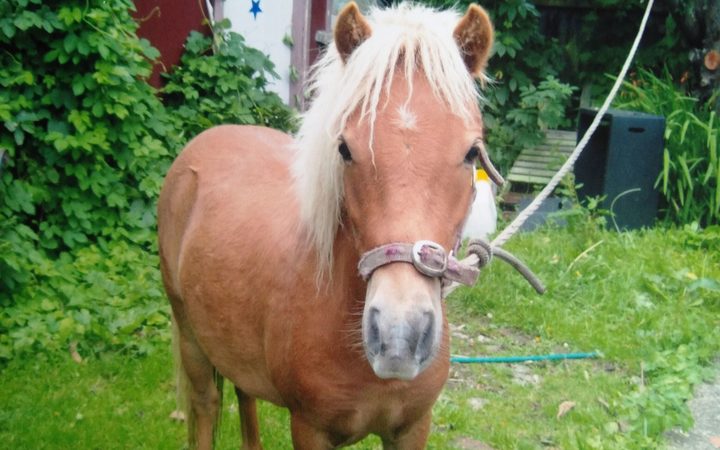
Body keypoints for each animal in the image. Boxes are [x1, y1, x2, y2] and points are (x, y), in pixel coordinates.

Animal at [158, 2, 496, 446]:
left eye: (472, 152)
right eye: (345, 149)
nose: (398, 336)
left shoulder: (411, 428)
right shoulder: (310, 429)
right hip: (191, 340)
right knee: (206, 407)